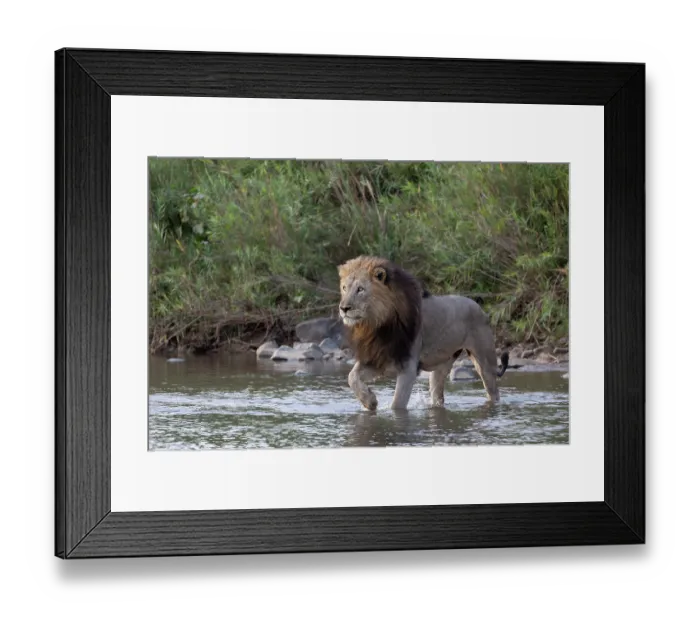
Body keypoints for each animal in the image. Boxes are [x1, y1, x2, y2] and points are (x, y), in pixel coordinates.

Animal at [337, 255, 508, 411]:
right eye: (344, 288)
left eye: (360, 289)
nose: (343, 308)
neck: (376, 325)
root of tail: (480, 309)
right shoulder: (378, 356)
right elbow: (351, 377)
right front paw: (370, 402)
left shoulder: (408, 367)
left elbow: (397, 406)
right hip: (440, 366)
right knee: (438, 395)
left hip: (485, 363)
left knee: (493, 392)